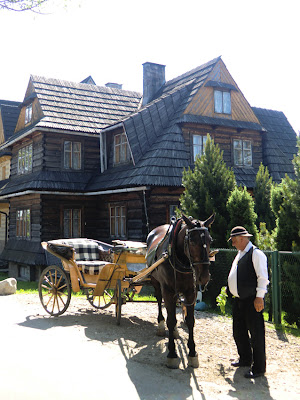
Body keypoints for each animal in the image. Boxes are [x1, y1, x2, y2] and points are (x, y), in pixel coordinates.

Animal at [146, 214, 214, 368]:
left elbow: (190, 321)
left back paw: (176, 331)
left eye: (210, 240)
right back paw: (161, 325)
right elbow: (170, 320)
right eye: (192, 241)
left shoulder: (190, 292)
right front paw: (172, 353)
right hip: (156, 282)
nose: (204, 277)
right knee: (159, 301)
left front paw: (192, 352)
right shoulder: (168, 291)